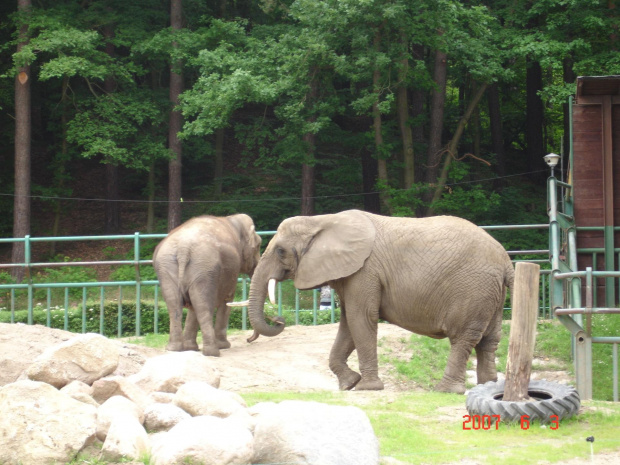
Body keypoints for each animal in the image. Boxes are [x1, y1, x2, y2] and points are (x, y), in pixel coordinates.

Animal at [155, 214, 264, 356]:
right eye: (259, 245)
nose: (248, 339)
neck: (232, 219)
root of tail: (183, 248)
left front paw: (190, 348)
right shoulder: (231, 272)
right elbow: (227, 300)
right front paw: (224, 346)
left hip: (168, 267)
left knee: (176, 305)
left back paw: (174, 349)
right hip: (204, 267)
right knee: (203, 306)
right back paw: (213, 352)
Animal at [245, 210, 516, 392]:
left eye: (280, 251)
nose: (279, 320)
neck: (321, 220)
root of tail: (506, 260)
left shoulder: (364, 271)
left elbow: (360, 319)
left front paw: (367, 388)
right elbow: (348, 323)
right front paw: (349, 384)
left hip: (473, 289)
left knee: (462, 339)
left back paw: (446, 390)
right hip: (490, 293)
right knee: (489, 339)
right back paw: (487, 387)